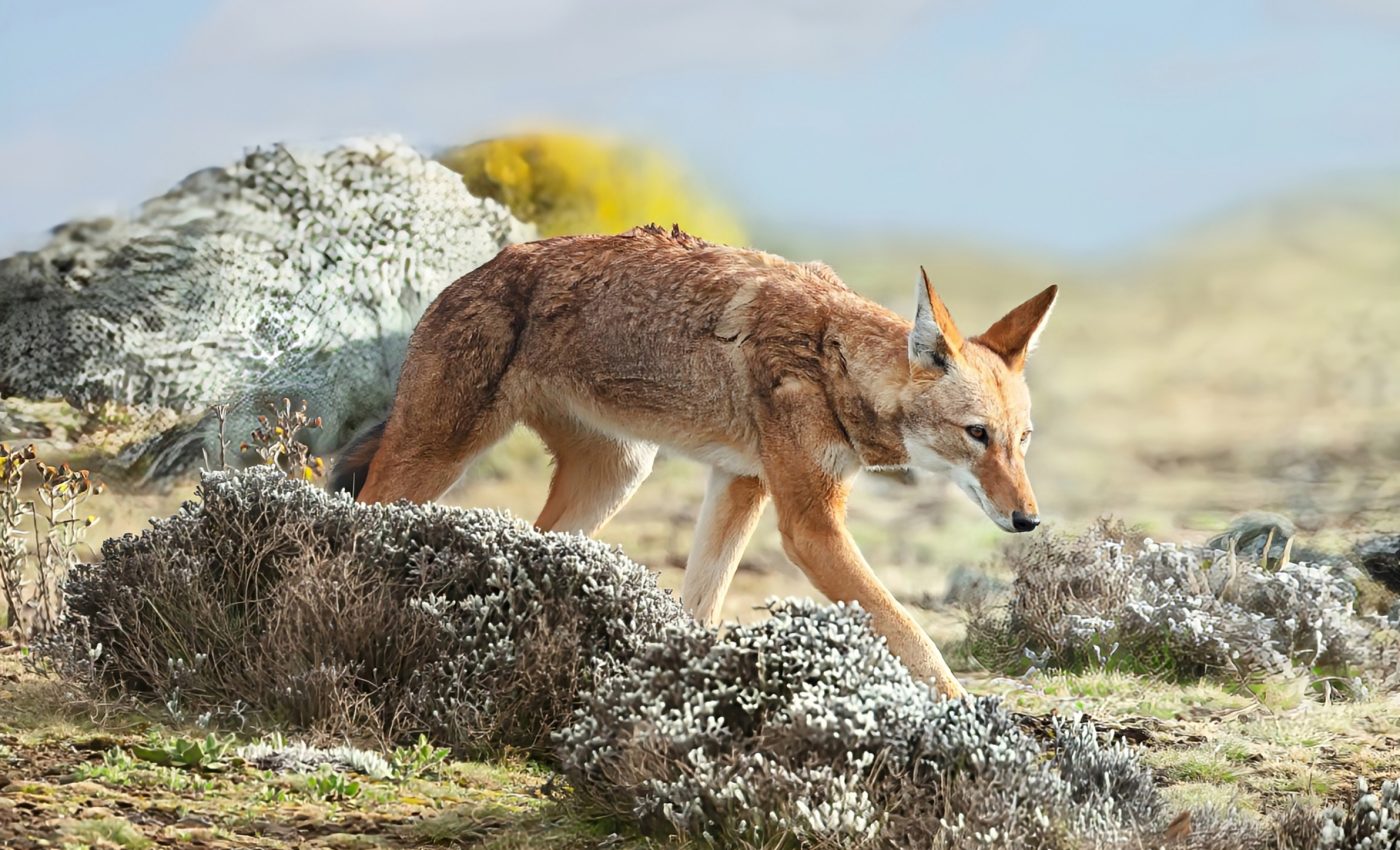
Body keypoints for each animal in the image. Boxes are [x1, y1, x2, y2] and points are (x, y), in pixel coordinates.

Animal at [332, 225, 1057, 699]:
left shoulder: (741, 484)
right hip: (434, 461)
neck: (834, 360)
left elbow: (700, 606)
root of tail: (468, 276)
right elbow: (910, 633)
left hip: (615, 479)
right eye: (977, 435)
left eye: (1023, 440)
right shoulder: (809, 527)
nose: (1029, 520)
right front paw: (967, 722)